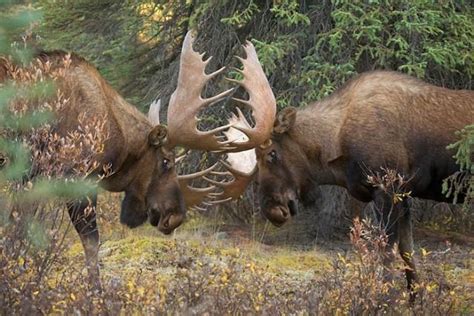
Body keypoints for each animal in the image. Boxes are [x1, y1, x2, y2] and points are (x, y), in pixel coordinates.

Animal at [214, 70, 474, 296]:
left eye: (271, 154)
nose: (272, 210)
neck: (336, 148)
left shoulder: (387, 188)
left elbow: (387, 252)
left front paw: (385, 299)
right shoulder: (404, 194)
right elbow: (407, 251)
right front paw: (414, 300)